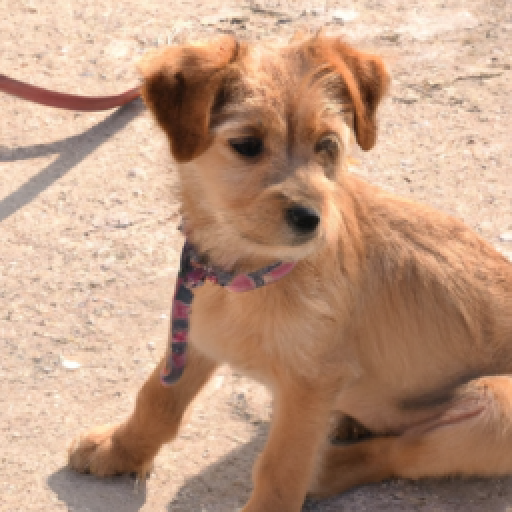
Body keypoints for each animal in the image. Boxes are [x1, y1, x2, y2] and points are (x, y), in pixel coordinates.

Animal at [68, 33, 512, 512]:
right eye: (247, 144)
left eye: (327, 144)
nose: (310, 219)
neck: (248, 273)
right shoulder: (198, 331)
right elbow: (158, 398)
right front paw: (118, 450)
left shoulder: (310, 385)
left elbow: (282, 469)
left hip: (496, 407)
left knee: (397, 450)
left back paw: (327, 467)